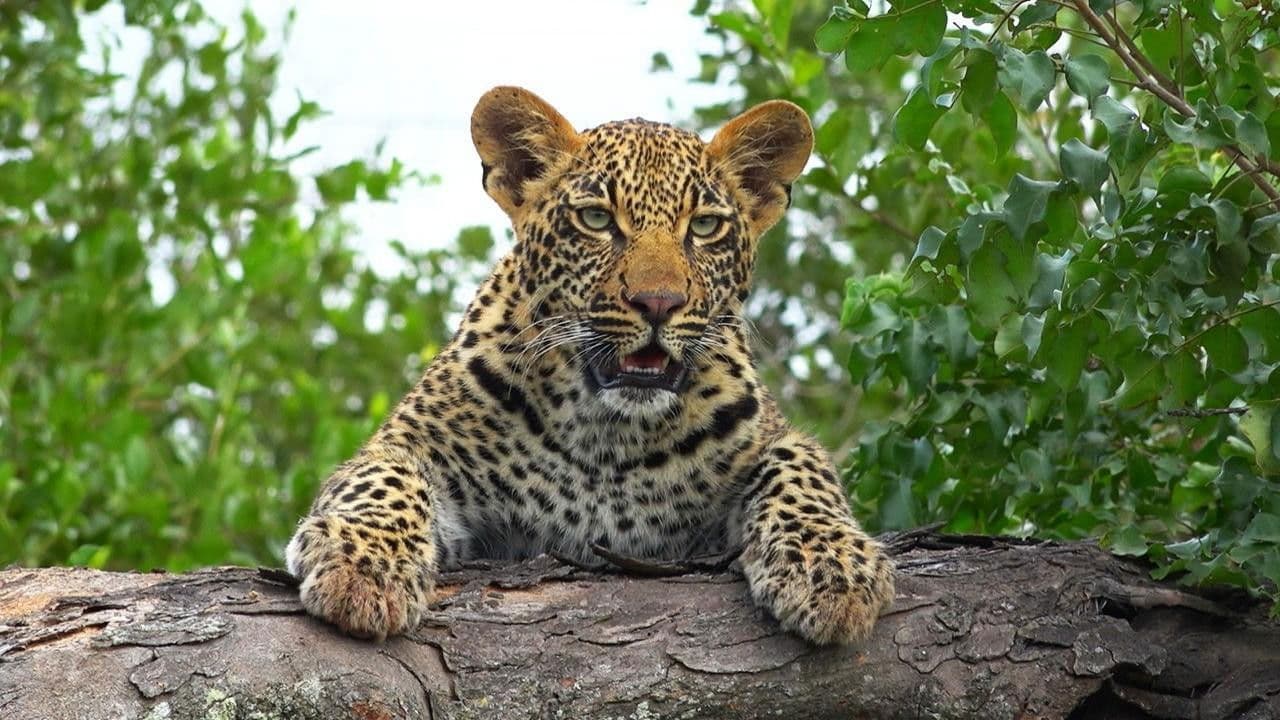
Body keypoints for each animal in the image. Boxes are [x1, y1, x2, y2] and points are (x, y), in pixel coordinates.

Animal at [285, 86, 895, 645]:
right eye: (598, 219)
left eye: (704, 227)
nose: (659, 302)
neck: (610, 437)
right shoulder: (413, 445)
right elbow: (384, 476)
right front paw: (362, 564)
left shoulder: (764, 435)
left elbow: (800, 466)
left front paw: (832, 567)